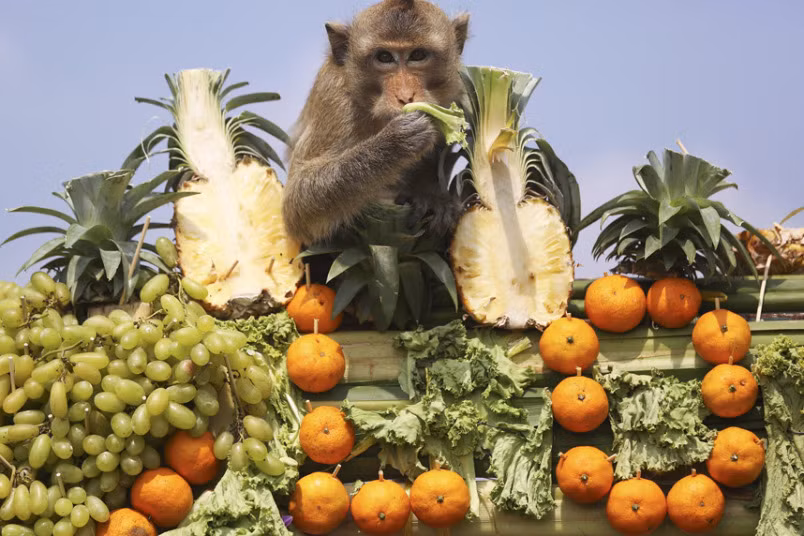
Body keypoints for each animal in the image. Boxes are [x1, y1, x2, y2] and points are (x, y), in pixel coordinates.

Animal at [283, 0, 470, 246]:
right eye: (384, 57)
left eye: (418, 55)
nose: (405, 96)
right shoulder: (335, 100)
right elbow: (297, 203)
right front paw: (395, 143)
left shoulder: (457, 89)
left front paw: (431, 196)